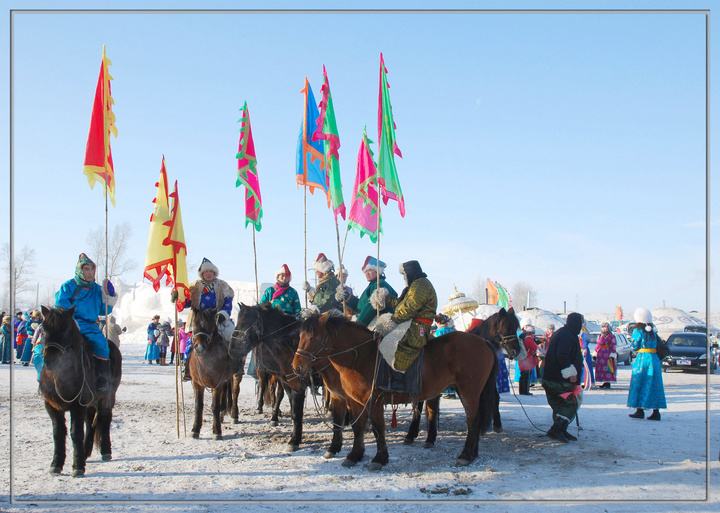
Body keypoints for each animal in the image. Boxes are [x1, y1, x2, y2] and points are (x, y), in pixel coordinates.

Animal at [39, 304, 121, 476]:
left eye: (66, 330)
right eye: (43, 328)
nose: (50, 360)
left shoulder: (77, 405)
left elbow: (75, 432)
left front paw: (78, 466)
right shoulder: (51, 406)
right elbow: (58, 433)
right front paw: (56, 464)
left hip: (108, 397)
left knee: (105, 418)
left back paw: (105, 451)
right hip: (90, 403)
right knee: (90, 422)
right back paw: (86, 451)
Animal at [187, 306, 238, 438]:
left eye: (209, 326)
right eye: (194, 325)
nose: (199, 347)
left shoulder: (217, 384)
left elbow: (215, 406)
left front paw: (217, 431)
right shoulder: (197, 384)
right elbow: (198, 405)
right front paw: (195, 429)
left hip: (234, 376)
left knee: (234, 392)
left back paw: (233, 414)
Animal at [292, 306, 524, 470]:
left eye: (313, 337)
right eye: (299, 337)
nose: (296, 366)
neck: (361, 357)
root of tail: (483, 343)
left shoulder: (374, 400)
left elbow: (378, 428)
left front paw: (379, 459)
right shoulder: (353, 401)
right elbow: (358, 428)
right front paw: (354, 456)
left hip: (469, 391)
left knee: (472, 421)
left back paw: (466, 455)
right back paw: (469, 453)